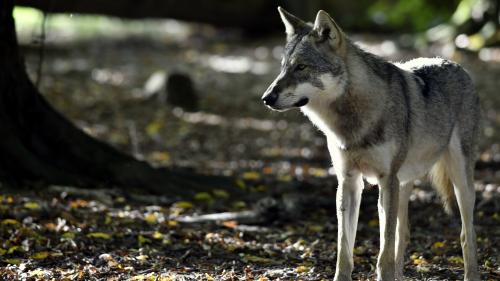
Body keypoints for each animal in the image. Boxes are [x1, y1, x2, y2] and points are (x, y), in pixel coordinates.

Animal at [264, 6, 482, 280]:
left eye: (301, 67)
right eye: (283, 67)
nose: (266, 98)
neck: (351, 122)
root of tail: (456, 64)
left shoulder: (386, 181)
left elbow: (383, 251)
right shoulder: (349, 182)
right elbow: (344, 249)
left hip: (458, 182)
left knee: (466, 234)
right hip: (404, 184)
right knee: (403, 234)